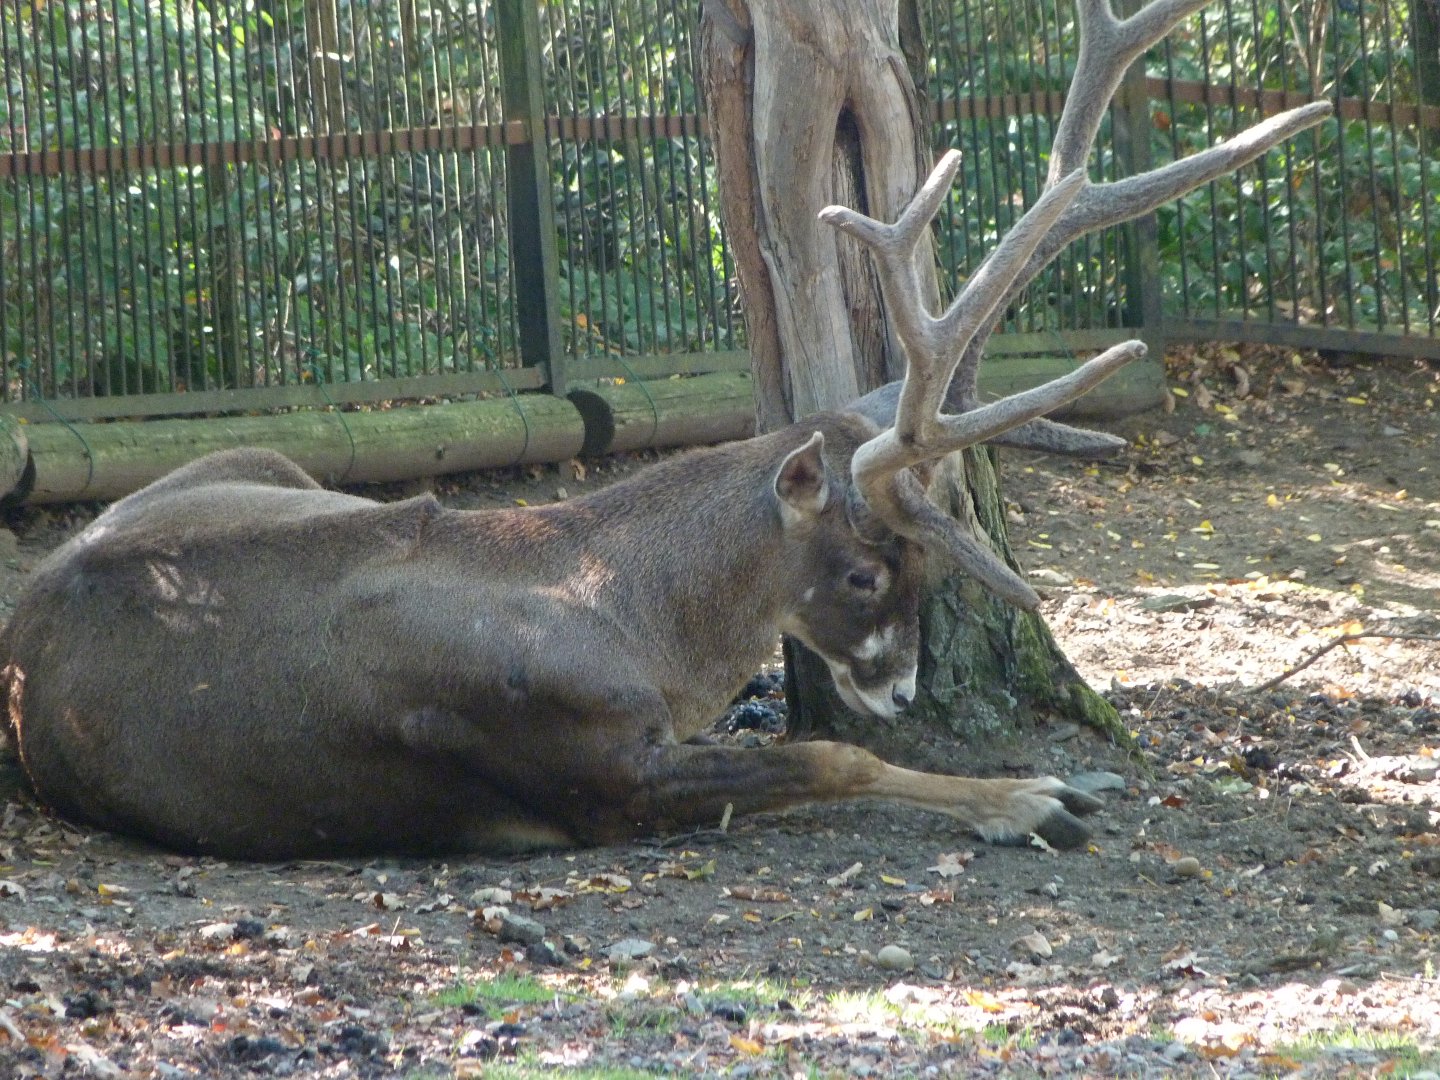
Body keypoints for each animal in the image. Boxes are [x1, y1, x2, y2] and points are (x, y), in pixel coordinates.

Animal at [1, 0, 1328, 859]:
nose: (900, 682)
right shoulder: (593, 775)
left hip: (258, 459)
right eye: (866, 569)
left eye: (923, 564)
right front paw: (1035, 796)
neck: (640, 618)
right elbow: (828, 760)